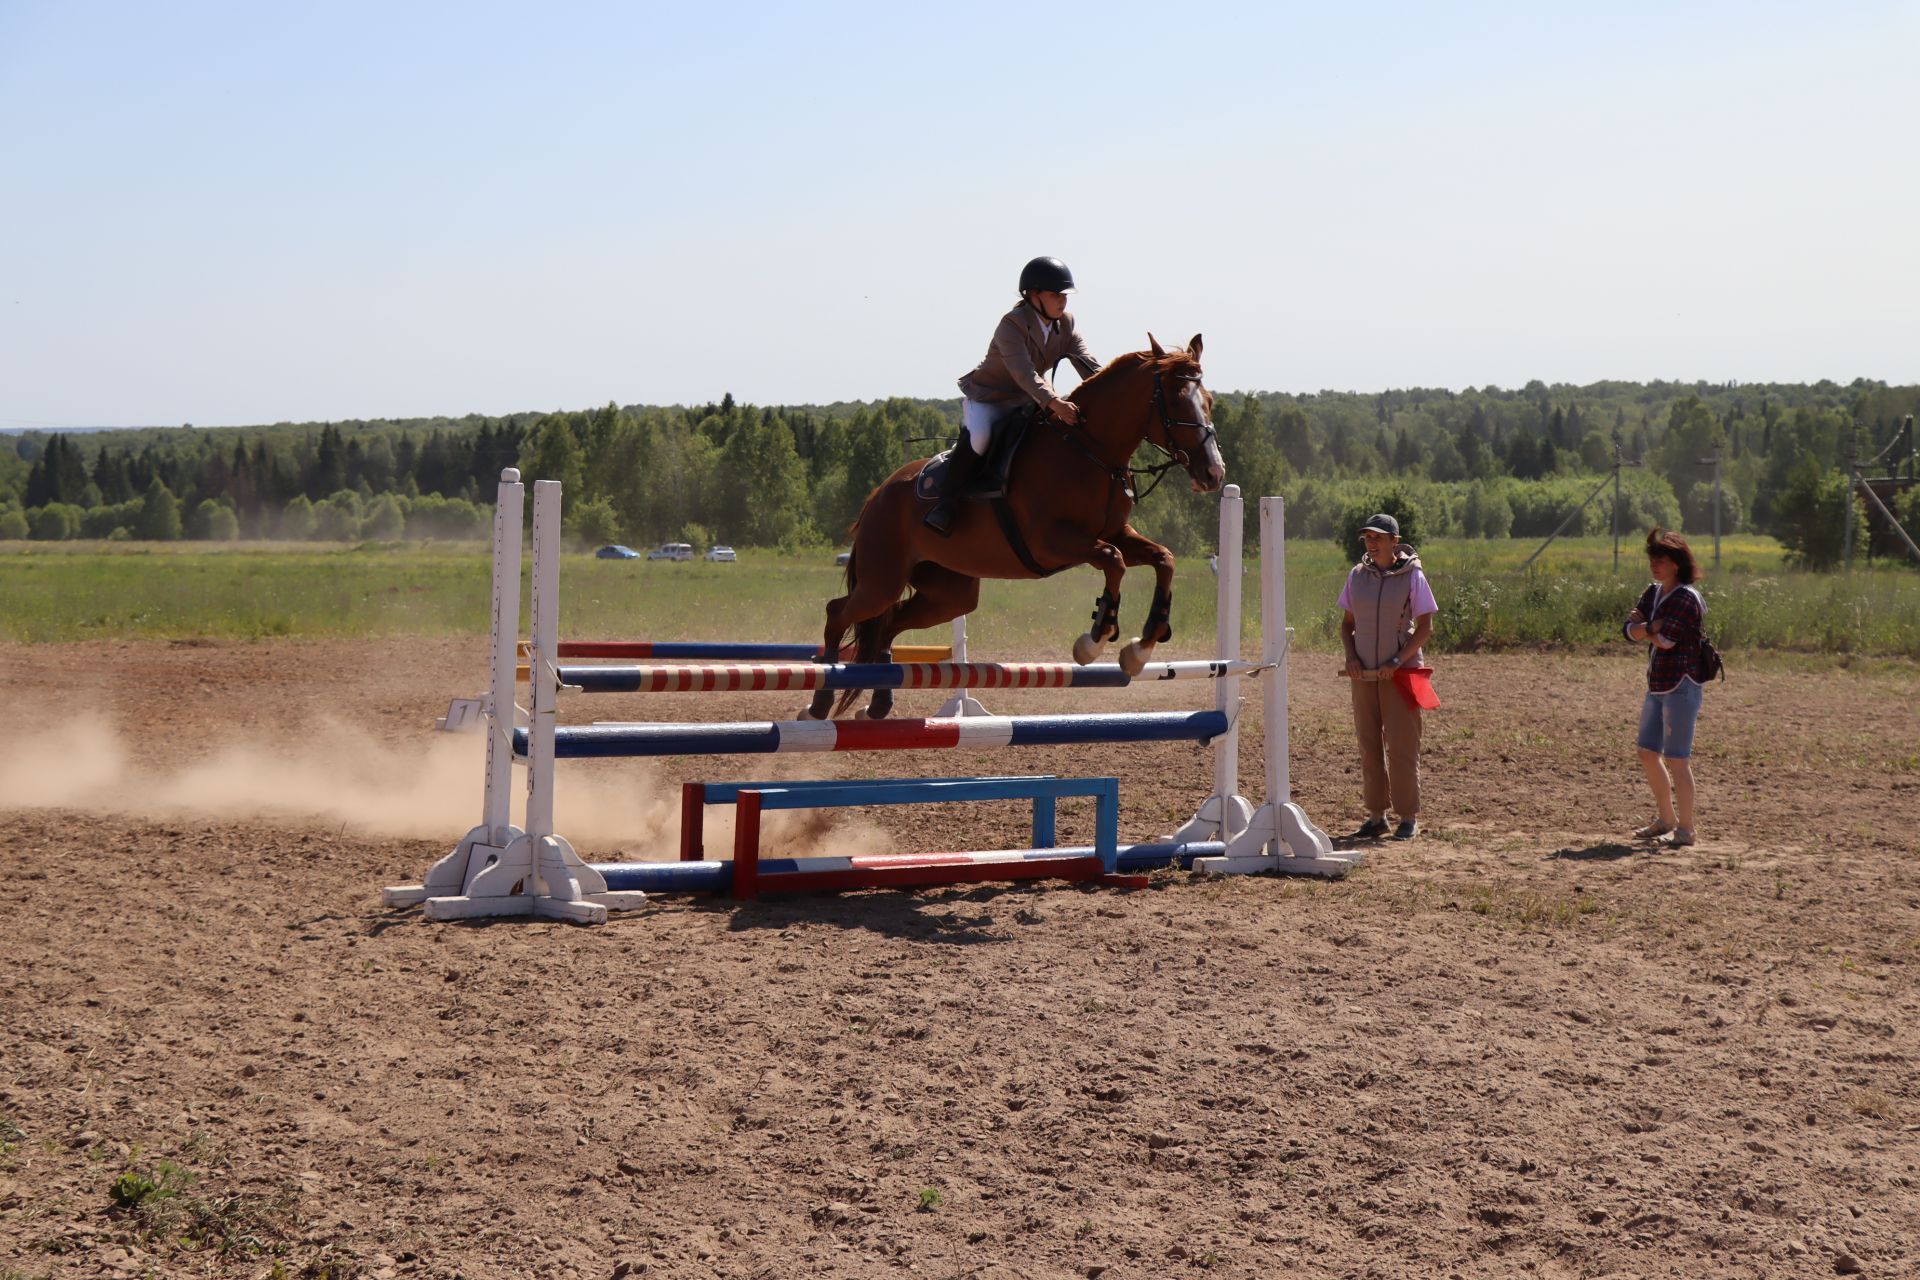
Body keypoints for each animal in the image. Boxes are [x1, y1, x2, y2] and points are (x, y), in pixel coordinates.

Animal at [802, 333, 1221, 721]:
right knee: (837, 613)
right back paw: (819, 703)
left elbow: (1163, 559)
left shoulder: (1114, 532)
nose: (1214, 474)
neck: (1090, 451)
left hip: (948, 593)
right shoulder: (1053, 543)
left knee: (889, 623)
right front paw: (1093, 640)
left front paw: (1140, 648)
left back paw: (878, 704)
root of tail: (879, 494)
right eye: (1177, 401)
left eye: (1209, 401)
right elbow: (1113, 560)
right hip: (882, 581)